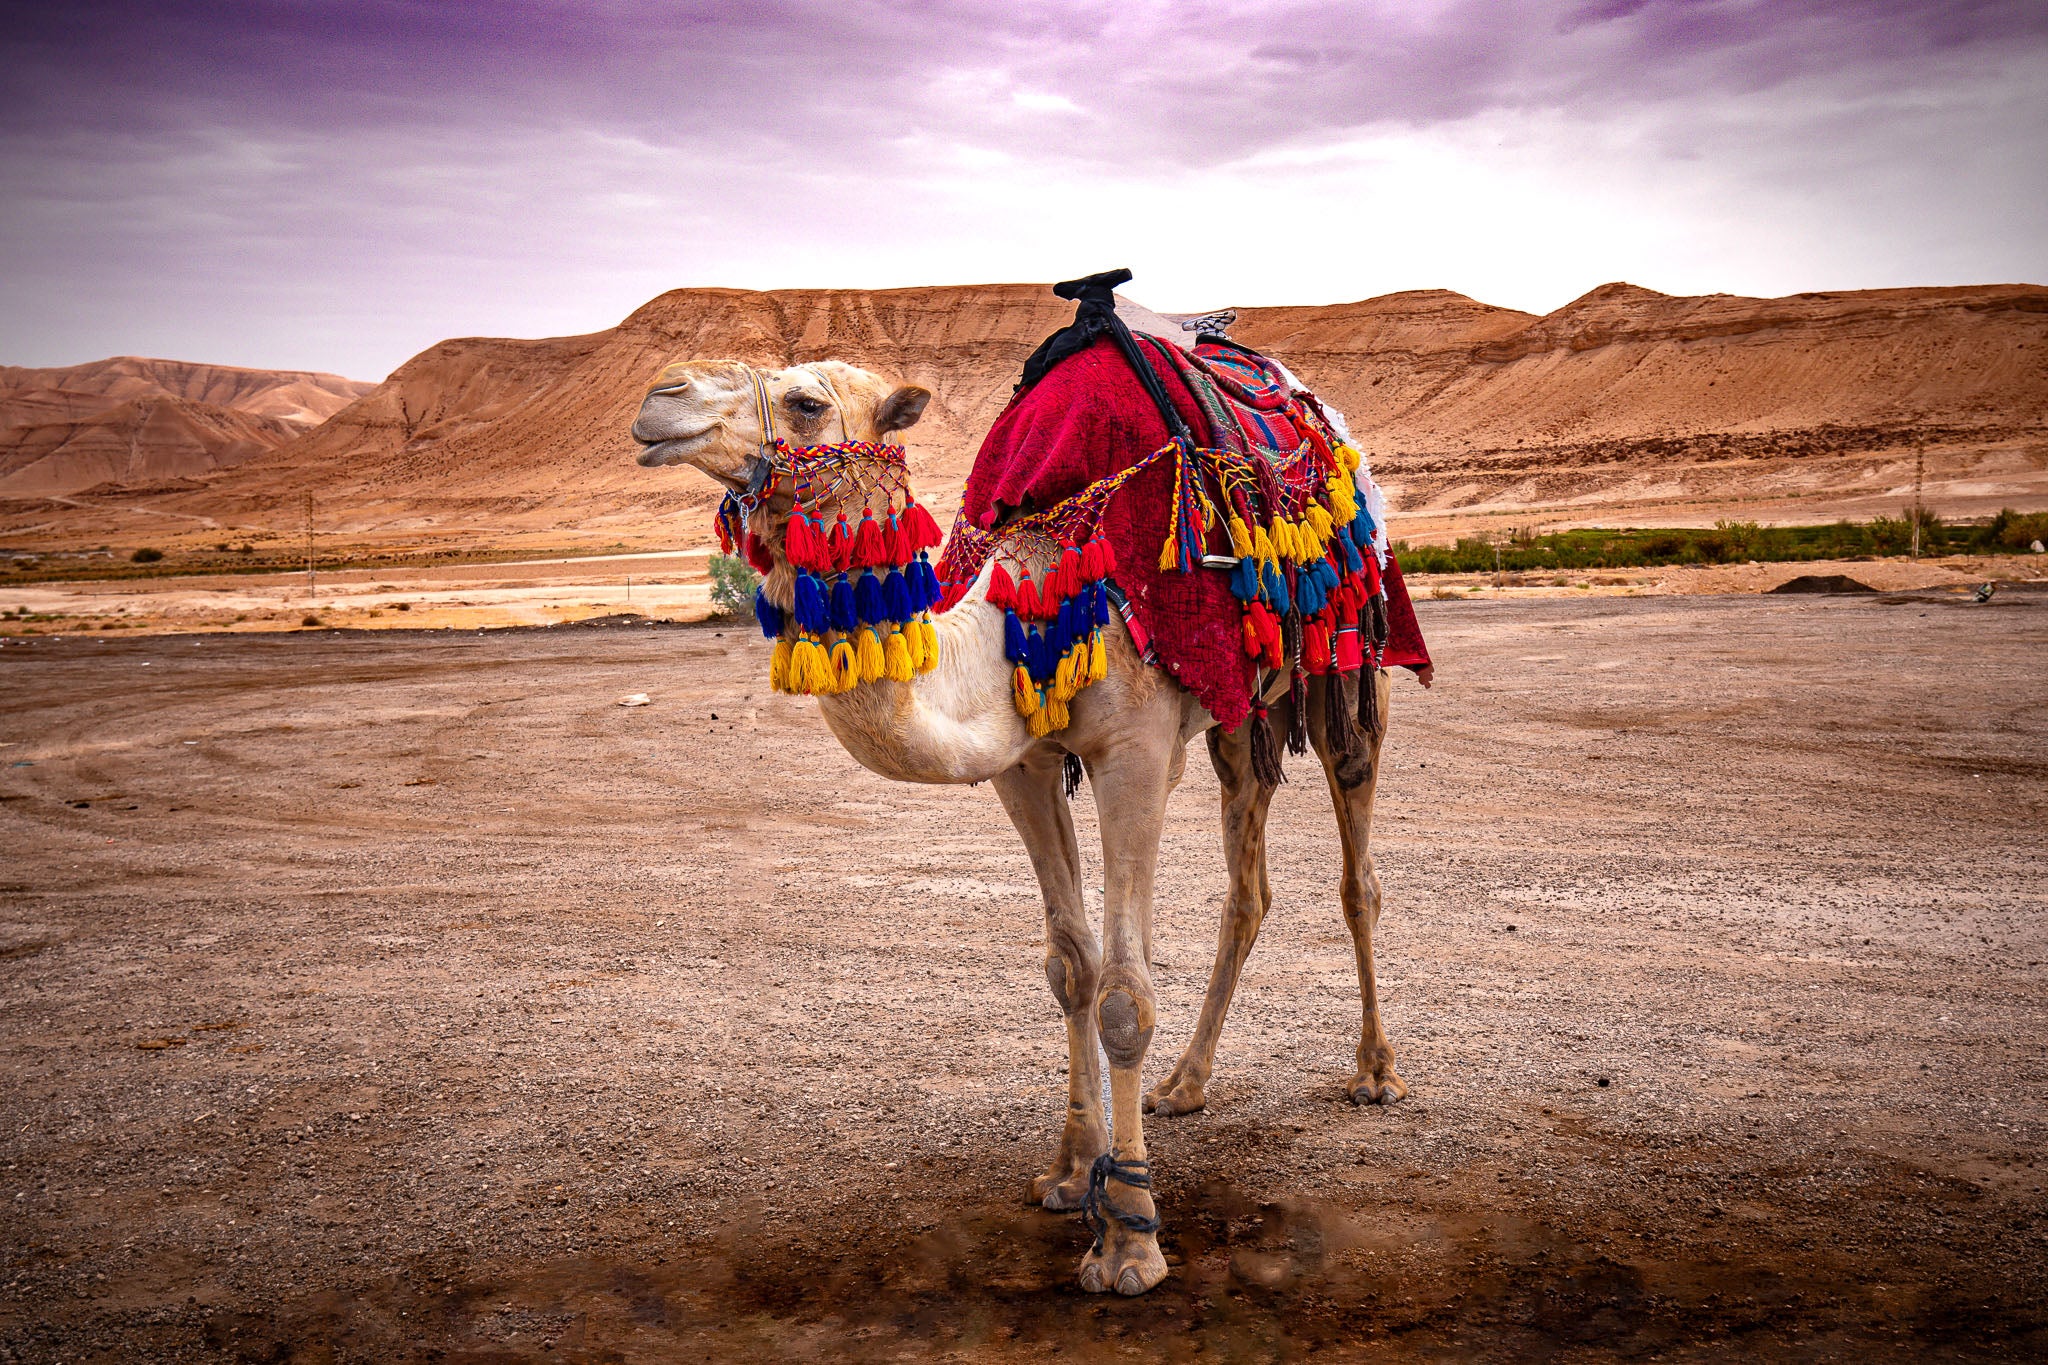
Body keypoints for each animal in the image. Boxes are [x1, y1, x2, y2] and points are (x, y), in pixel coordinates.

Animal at [630, 350, 1407, 1298]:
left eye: (806, 402)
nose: (659, 399)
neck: (1021, 610)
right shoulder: (1023, 765)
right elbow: (1071, 967)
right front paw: (1072, 1173)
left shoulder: (1133, 751)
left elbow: (1124, 996)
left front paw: (1130, 1237)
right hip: (1237, 703)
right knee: (1248, 880)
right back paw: (1185, 1084)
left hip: (1348, 650)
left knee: (1357, 860)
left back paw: (1374, 1072)